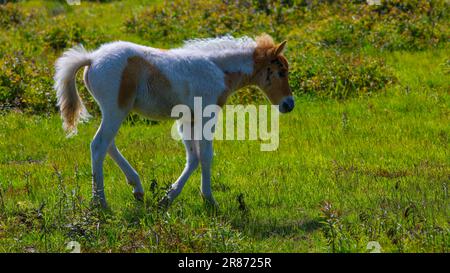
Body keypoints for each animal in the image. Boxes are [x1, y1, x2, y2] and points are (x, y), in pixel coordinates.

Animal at [54, 34, 296, 208]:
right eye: (281, 72)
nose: (289, 104)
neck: (218, 69)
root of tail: (92, 58)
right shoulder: (207, 116)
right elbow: (206, 156)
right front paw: (210, 200)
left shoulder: (188, 120)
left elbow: (193, 158)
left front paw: (167, 198)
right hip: (116, 110)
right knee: (99, 145)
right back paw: (100, 203)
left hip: (113, 112)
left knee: (108, 145)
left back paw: (137, 188)